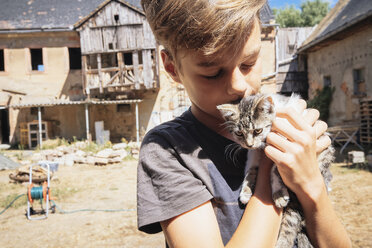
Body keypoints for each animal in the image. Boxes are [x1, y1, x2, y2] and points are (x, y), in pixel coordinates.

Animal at [218, 93, 334, 248]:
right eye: (239, 133)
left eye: (258, 130)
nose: (249, 144)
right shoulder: (253, 154)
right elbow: (250, 170)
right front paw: (245, 191)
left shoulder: (284, 143)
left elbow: (275, 169)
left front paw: (278, 193)